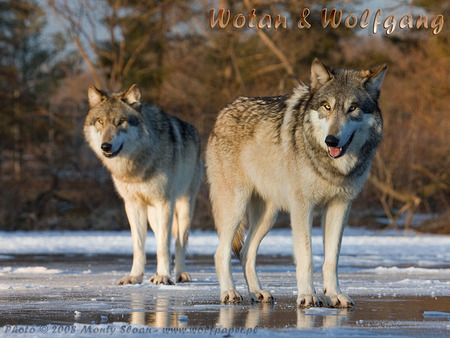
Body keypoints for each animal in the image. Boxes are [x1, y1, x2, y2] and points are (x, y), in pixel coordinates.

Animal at [84, 84, 202, 286]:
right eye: (100, 121)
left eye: (121, 122)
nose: (105, 146)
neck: (137, 165)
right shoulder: (133, 205)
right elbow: (139, 246)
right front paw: (135, 277)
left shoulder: (164, 203)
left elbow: (164, 246)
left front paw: (163, 276)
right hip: (153, 216)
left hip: (183, 207)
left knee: (179, 241)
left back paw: (180, 274)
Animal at [206, 59, 384, 308]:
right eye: (327, 107)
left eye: (353, 108)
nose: (332, 140)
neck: (331, 167)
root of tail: (224, 111)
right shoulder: (302, 207)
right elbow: (306, 257)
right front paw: (307, 296)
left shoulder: (340, 206)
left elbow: (331, 259)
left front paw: (334, 295)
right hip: (235, 207)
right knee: (220, 253)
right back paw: (230, 292)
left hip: (267, 216)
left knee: (246, 253)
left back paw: (257, 292)